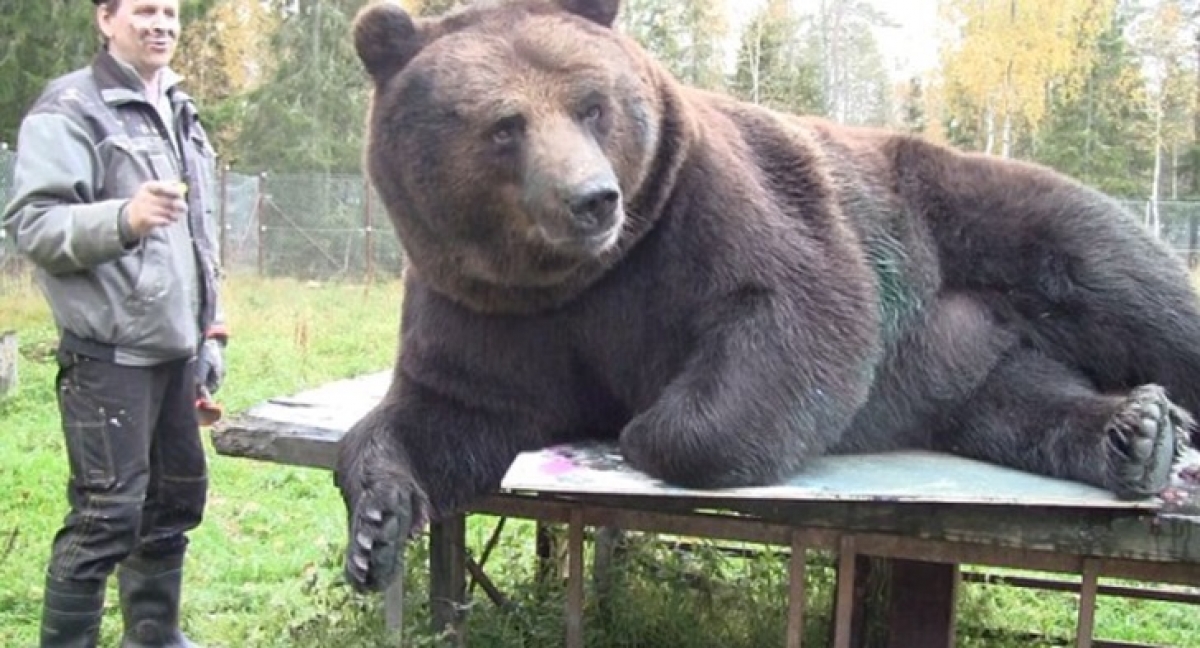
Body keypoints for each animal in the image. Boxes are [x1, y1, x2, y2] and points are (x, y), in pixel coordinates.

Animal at [335, 0, 1200, 593]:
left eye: (592, 104)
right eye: (504, 125)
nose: (592, 199)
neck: (581, 277)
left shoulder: (710, 212)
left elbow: (793, 312)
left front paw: (644, 430)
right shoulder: (488, 309)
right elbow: (445, 414)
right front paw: (377, 526)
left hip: (979, 223)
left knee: (1130, 288)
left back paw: (1162, 417)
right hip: (963, 356)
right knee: (1018, 400)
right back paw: (1135, 431)